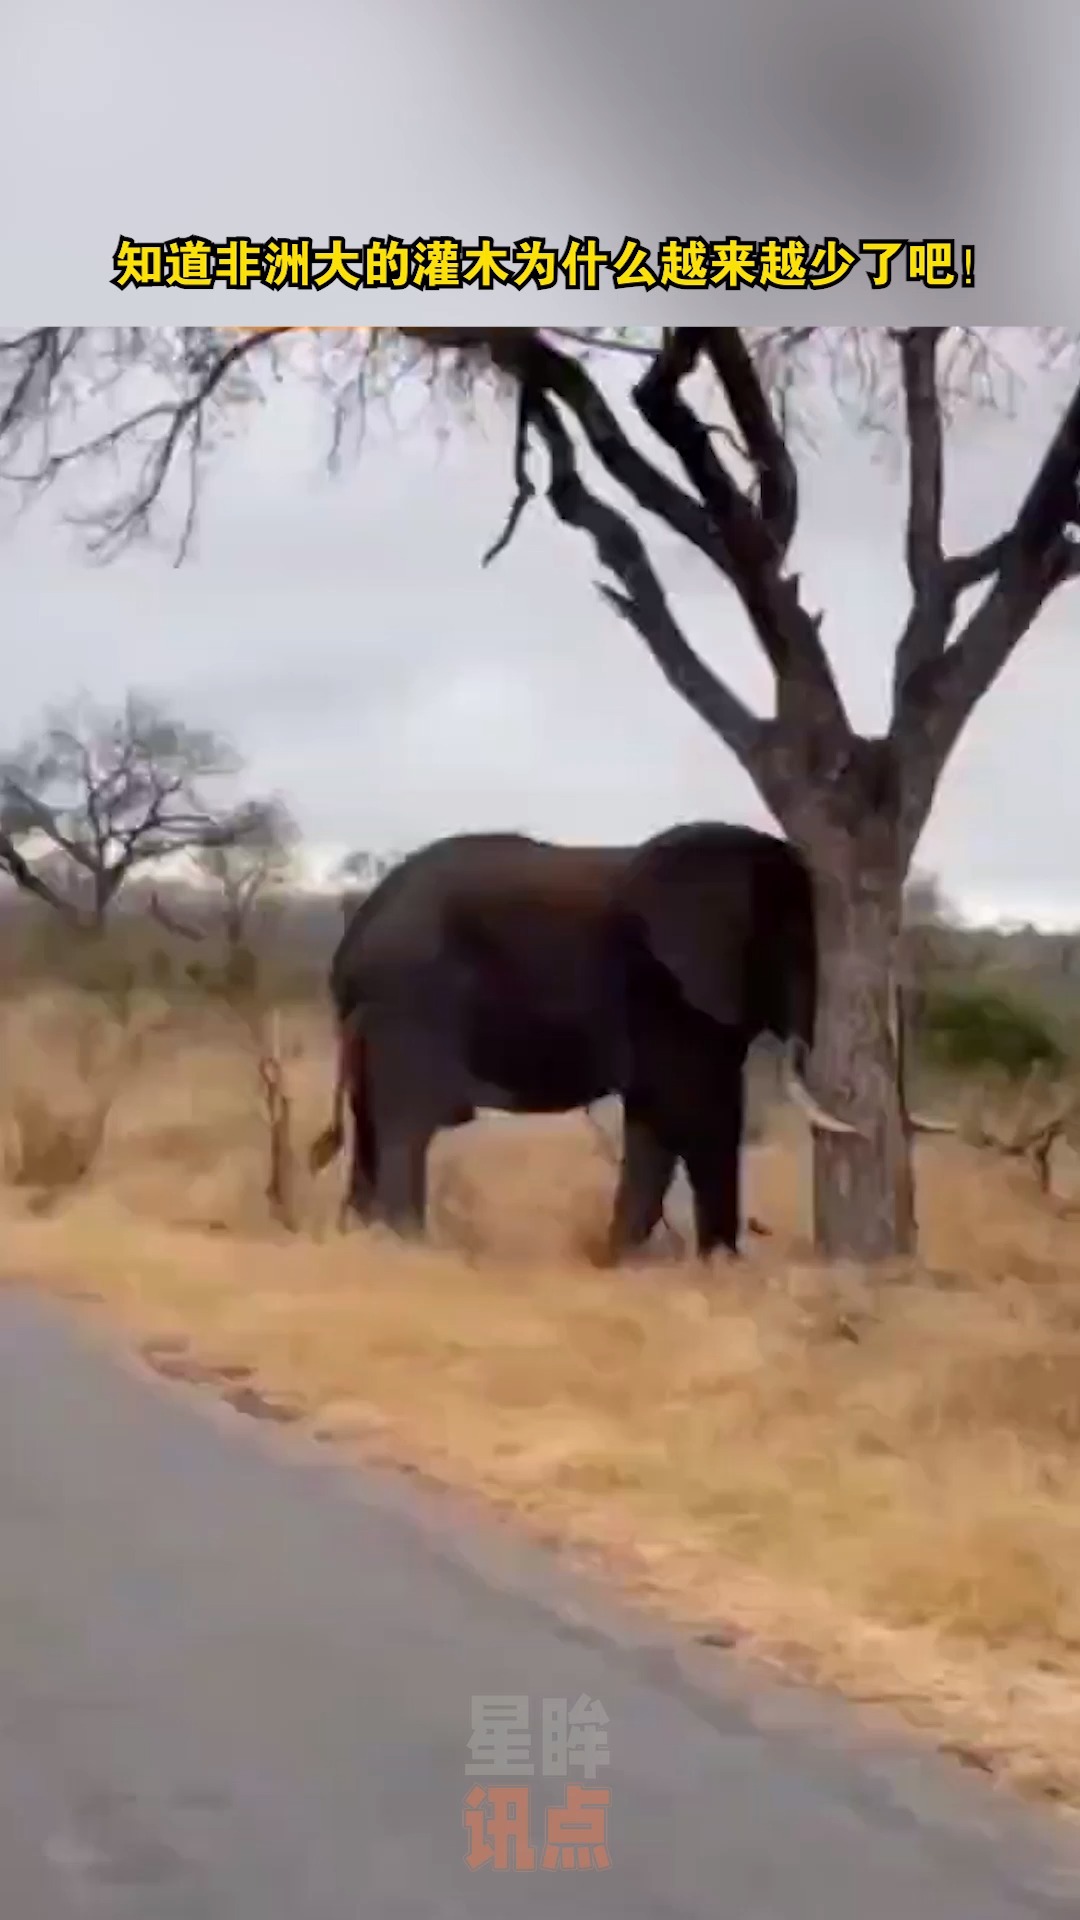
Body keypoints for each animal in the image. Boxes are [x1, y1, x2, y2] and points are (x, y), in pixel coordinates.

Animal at [309, 821, 864, 1259]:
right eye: (799, 950)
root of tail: (350, 944)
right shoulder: (668, 996)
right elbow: (691, 1114)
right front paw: (686, 1265)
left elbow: (679, 1118)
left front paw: (642, 1261)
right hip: (409, 1007)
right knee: (405, 1128)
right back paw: (416, 1251)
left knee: (370, 1126)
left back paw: (365, 1236)